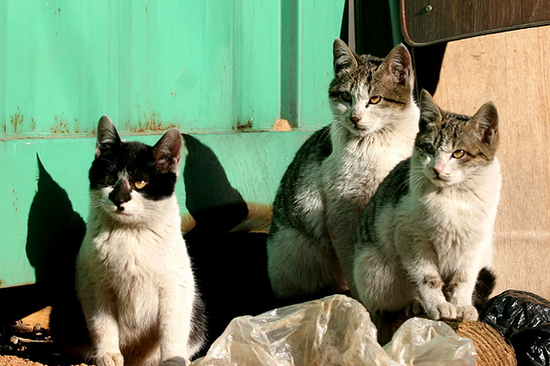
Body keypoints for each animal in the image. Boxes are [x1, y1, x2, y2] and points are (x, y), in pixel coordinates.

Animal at [76, 116, 207, 366]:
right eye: (108, 178)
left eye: (140, 183)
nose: (118, 199)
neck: (130, 234)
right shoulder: (94, 285)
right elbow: (102, 323)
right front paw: (108, 355)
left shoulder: (176, 285)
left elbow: (173, 328)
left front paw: (173, 360)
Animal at [266, 38, 418, 300]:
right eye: (346, 96)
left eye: (375, 99)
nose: (354, 118)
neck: (381, 141)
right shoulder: (342, 210)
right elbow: (351, 258)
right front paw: (362, 301)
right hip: (292, 248)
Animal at [356, 91, 502, 320]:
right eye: (429, 148)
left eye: (458, 153)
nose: (437, 169)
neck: (452, 196)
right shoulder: (411, 239)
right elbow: (427, 277)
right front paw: (438, 305)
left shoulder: (475, 244)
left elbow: (464, 278)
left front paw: (462, 305)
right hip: (373, 268)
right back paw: (415, 304)